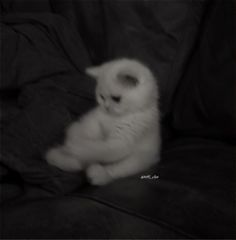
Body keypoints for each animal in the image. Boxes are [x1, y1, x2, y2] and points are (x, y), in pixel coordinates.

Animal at [45, 58, 161, 186]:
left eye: (116, 98)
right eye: (102, 96)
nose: (106, 106)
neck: (115, 117)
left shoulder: (121, 142)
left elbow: (97, 149)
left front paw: (76, 148)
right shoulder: (94, 120)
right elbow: (91, 131)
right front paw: (74, 144)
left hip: (138, 159)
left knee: (112, 170)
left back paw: (95, 173)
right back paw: (57, 156)